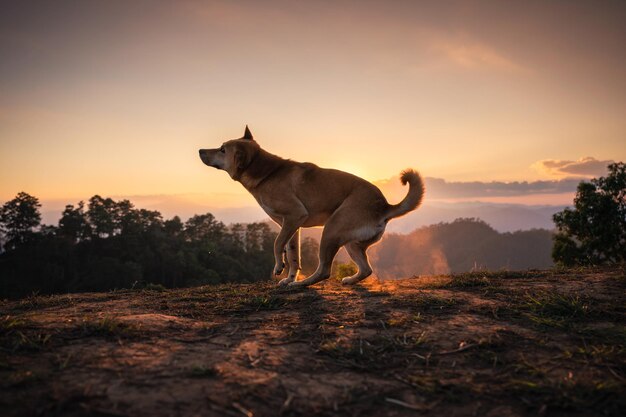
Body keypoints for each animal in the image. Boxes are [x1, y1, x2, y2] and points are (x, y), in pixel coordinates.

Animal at [199, 124, 424, 286]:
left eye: (222, 150)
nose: (200, 150)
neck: (268, 173)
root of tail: (385, 206)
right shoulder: (292, 226)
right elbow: (293, 254)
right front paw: (289, 277)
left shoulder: (294, 216)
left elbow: (277, 244)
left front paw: (279, 267)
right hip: (351, 242)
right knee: (366, 269)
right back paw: (348, 280)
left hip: (331, 229)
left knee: (324, 270)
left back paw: (303, 284)